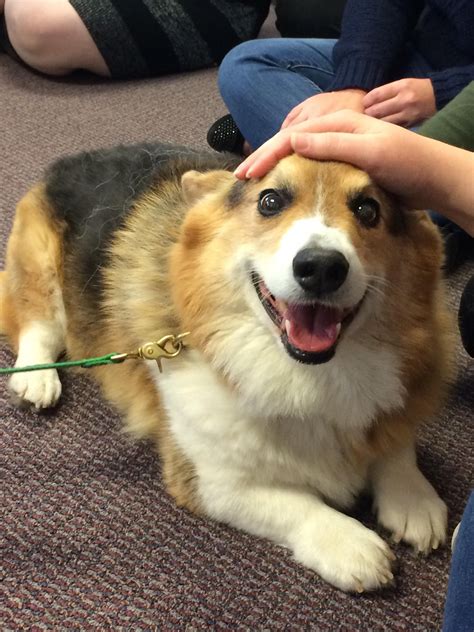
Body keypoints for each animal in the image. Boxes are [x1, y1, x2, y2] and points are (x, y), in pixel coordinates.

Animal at [0, 143, 452, 592]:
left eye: (368, 210)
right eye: (270, 201)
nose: (322, 267)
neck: (305, 371)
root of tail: (69, 160)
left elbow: (395, 446)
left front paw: (413, 499)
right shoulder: (211, 480)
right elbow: (298, 504)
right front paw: (352, 545)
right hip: (39, 263)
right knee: (39, 321)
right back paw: (37, 378)